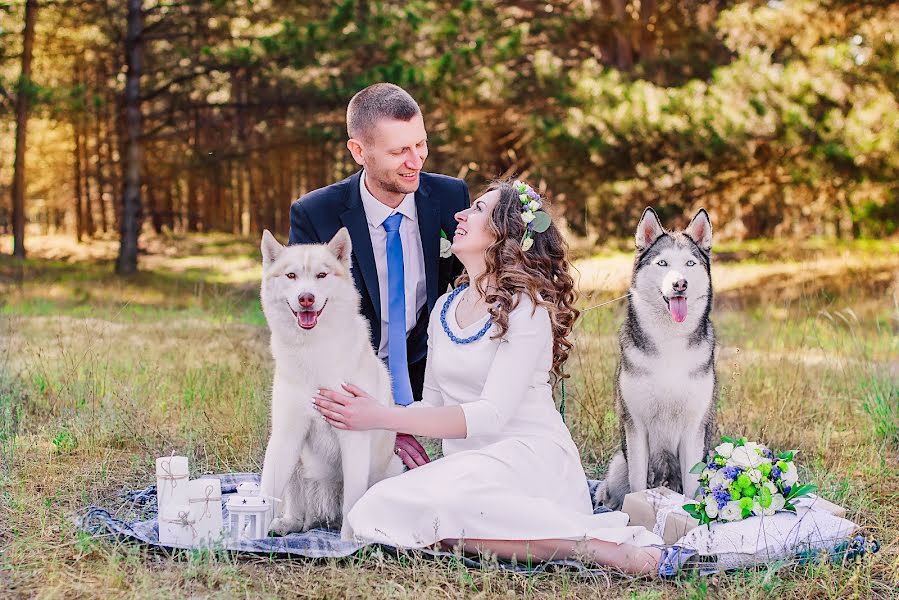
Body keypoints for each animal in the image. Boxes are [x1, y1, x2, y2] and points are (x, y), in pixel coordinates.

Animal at [258, 229, 402, 540]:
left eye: (321, 275)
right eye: (291, 276)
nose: (306, 298)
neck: (314, 349)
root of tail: (324, 519)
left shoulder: (354, 438)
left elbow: (352, 502)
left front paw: (348, 544)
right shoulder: (286, 434)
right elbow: (266, 490)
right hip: (295, 462)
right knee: (298, 512)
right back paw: (288, 523)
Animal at [596, 209, 716, 508]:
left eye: (690, 263)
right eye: (662, 263)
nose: (680, 284)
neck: (669, 342)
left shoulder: (694, 427)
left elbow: (692, 488)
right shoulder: (636, 426)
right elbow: (638, 484)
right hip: (619, 463)